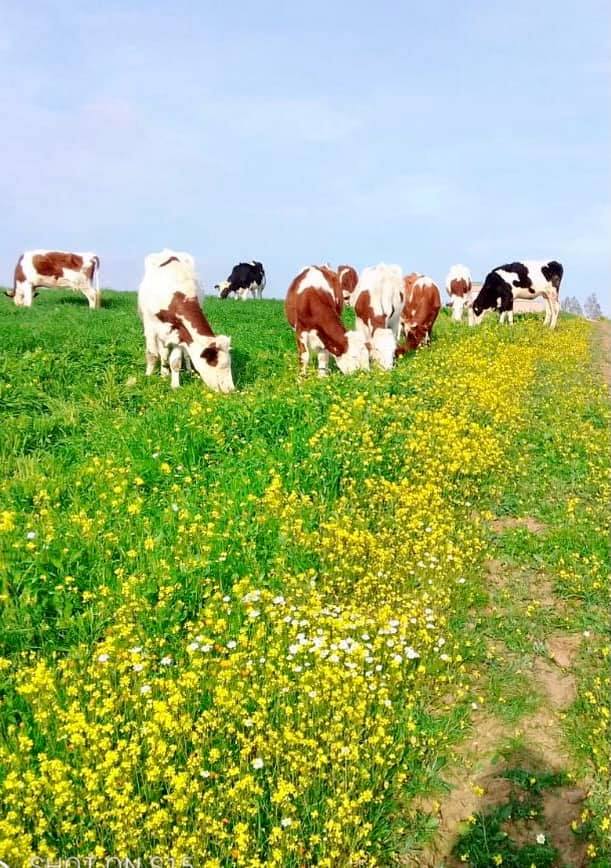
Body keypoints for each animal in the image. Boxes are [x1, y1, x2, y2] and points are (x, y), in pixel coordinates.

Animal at [138, 249, 234, 392]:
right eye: (216, 364)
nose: (231, 389)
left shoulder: (180, 332)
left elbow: (176, 361)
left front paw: (175, 385)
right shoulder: (150, 327)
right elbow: (152, 354)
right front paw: (148, 377)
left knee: (180, 354)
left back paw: (186, 371)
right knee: (162, 352)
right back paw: (164, 372)